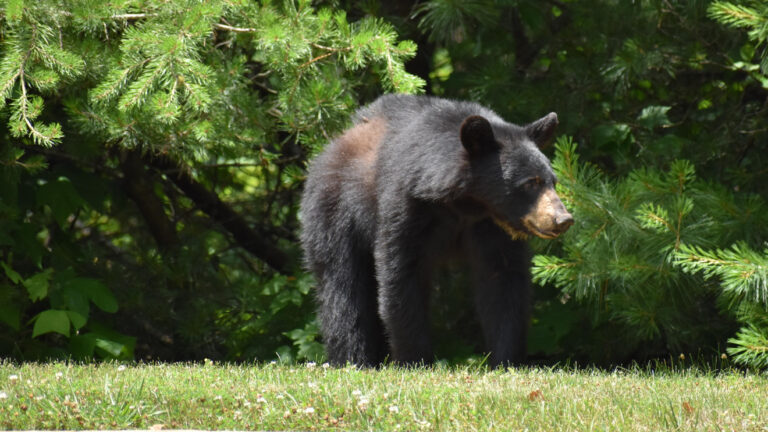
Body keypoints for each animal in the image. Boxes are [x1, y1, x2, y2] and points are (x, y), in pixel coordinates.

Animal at [299, 94, 573, 367]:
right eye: (530, 183)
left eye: (553, 181)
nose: (563, 219)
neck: (466, 204)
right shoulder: (406, 205)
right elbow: (400, 273)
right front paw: (414, 360)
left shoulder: (493, 227)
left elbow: (503, 280)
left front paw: (507, 361)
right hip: (335, 211)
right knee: (342, 287)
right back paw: (352, 359)